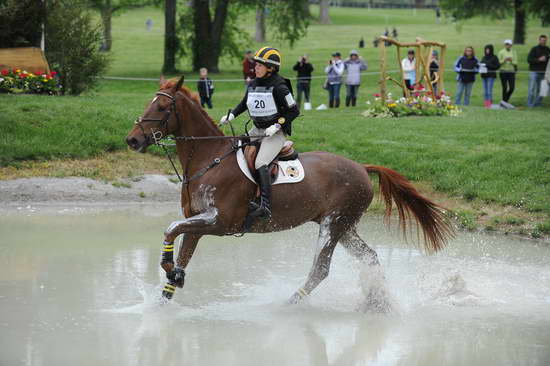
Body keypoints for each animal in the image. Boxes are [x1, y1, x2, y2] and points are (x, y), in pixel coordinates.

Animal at [127, 77, 454, 306]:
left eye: (162, 108)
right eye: (148, 104)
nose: (132, 140)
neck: (210, 158)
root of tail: (362, 167)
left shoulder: (220, 222)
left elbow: (171, 228)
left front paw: (168, 268)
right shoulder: (198, 221)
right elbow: (182, 247)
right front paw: (167, 291)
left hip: (333, 224)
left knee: (320, 269)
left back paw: (291, 304)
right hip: (345, 226)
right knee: (370, 257)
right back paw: (378, 303)